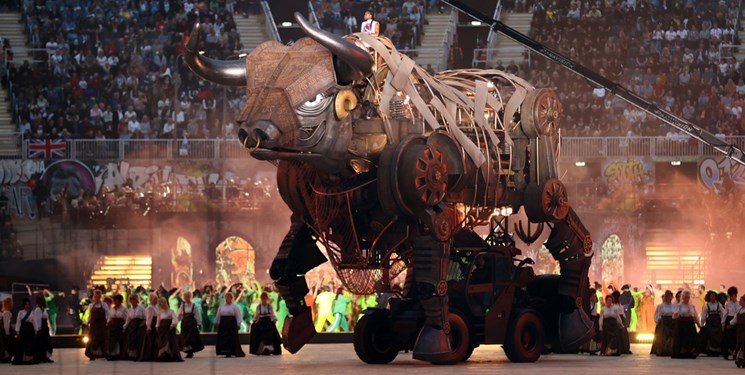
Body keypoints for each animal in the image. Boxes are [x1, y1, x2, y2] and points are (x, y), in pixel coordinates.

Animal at [186, 13, 592, 366]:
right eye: (252, 91)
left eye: (315, 98)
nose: (251, 131)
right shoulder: (315, 213)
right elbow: (284, 267)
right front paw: (299, 329)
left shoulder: (431, 214)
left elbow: (431, 282)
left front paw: (438, 342)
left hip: (541, 190)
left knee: (573, 237)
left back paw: (574, 323)